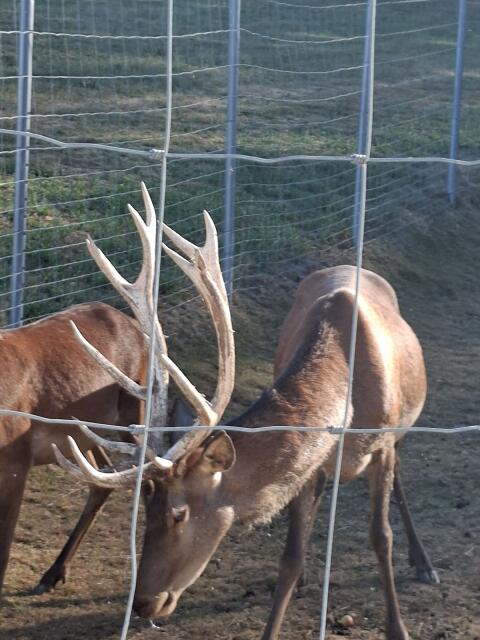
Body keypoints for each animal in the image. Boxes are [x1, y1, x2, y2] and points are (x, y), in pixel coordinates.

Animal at [55, 185, 438, 640]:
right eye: (145, 508)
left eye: (179, 513)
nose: (144, 601)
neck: (346, 399)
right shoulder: (309, 463)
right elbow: (290, 556)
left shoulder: (380, 447)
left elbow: (380, 537)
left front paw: (398, 627)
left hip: (399, 431)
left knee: (399, 483)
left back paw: (423, 562)